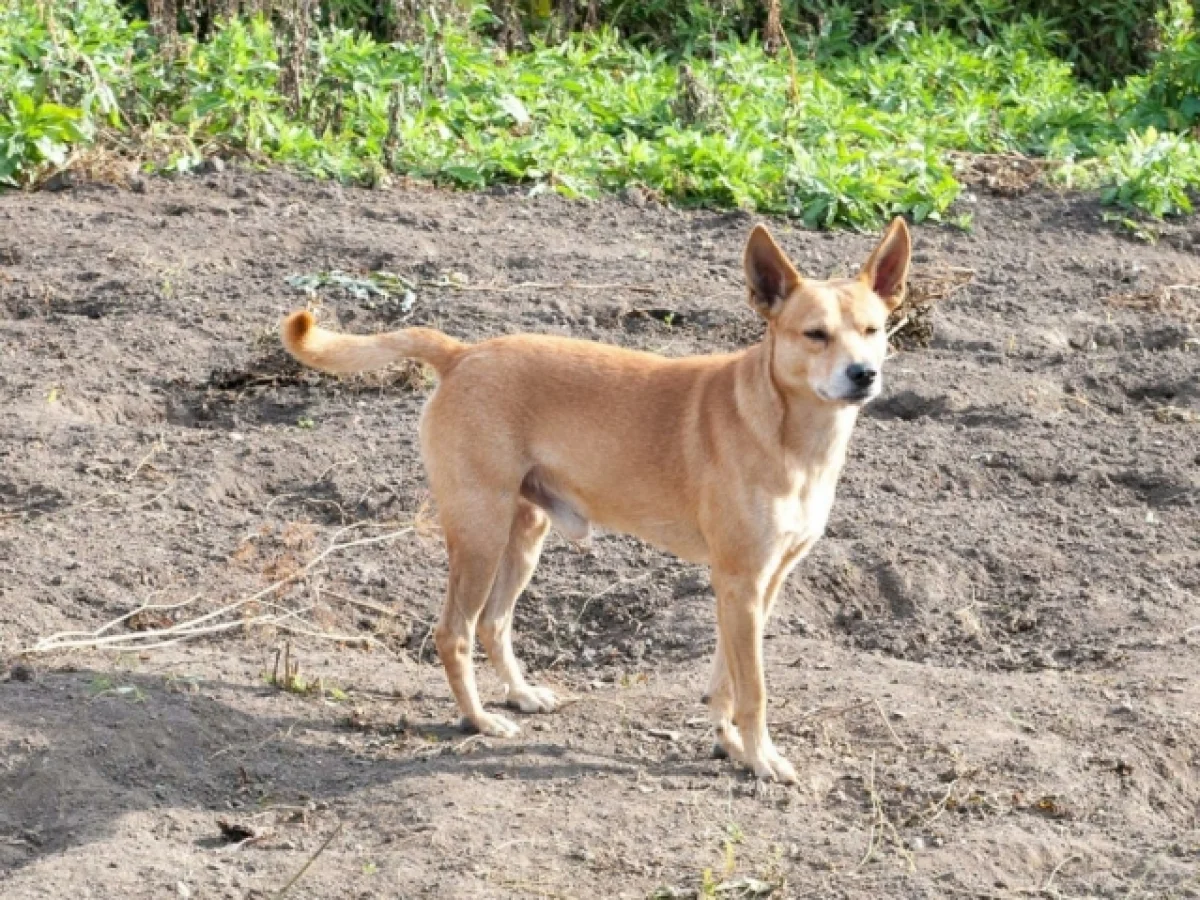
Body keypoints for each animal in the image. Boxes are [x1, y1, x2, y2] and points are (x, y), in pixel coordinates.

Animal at [280, 218, 907, 782]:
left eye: (875, 329)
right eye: (815, 334)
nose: (864, 375)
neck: (789, 432)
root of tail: (465, 352)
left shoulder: (761, 583)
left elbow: (726, 677)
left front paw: (727, 741)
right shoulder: (740, 581)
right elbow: (753, 688)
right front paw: (760, 757)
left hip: (524, 536)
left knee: (495, 623)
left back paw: (520, 694)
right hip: (480, 534)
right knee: (454, 632)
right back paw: (480, 720)